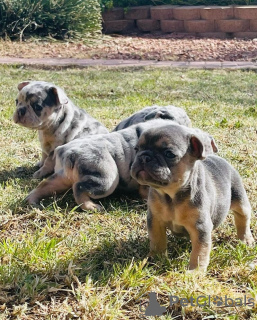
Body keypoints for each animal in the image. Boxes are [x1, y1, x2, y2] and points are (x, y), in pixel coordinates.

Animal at [26, 119, 192, 211]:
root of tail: (67, 151)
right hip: (106, 178)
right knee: (79, 187)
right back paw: (92, 207)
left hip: (62, 177)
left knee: (46, 184)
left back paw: (32, 201)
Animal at [131, 124, 253, 272]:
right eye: (136, 149)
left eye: (169, 154)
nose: (144, 157)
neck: (170, 196)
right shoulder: (155, 220)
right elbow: (157, 240)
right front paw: (156, 258)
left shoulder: (200, 227)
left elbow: (199, 252)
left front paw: (195, 271)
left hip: (239, 199)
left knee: (243, 218)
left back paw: (245, 239)